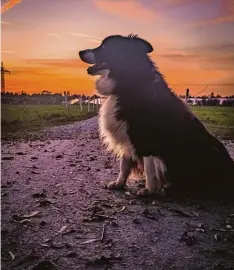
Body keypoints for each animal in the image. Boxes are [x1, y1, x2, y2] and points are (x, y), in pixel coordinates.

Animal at [79, 33, 234, 198]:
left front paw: (149, 190)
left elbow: (149, 169)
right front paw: (119, 183)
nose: (80, 52)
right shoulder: (126, 137)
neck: (127, 84)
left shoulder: (145, 138)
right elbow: (124, 165)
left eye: (104, 46)